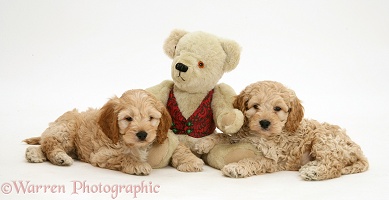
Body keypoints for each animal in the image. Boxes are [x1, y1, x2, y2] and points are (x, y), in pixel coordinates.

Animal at [23, 89, 202, 175]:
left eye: (151, 118)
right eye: (128, 118)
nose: (142, 134)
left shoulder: (165, 138)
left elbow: (180, 148)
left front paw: (192, 161)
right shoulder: (103, 154)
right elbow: (124, 156)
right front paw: (138, 165)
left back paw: (34, 153)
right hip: (67, 129)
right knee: (50, 142)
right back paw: (59, 157)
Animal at [197, 80, 366, 180]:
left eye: (277, 108)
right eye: (255, 106)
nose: (265, 122)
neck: (262, 135)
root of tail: (357, 150)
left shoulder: (274, 159)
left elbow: (254, 160)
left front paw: (236, 167)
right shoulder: (242, 136)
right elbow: (225, 136)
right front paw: (204, 142)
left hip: (323, 140)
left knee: (334, 165)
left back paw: (314, 172)